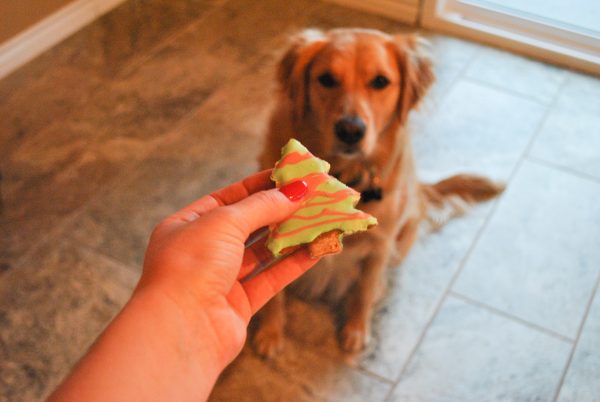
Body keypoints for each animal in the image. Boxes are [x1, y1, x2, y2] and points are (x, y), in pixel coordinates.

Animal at [253, 27, 502, 358]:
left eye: (381, 81)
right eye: (326, 78)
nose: (350, 130)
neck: (346, 172)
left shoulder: (380, 247)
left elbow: (365, 291)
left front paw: (357, 331)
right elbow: (274, 295)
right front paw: (270, 332)